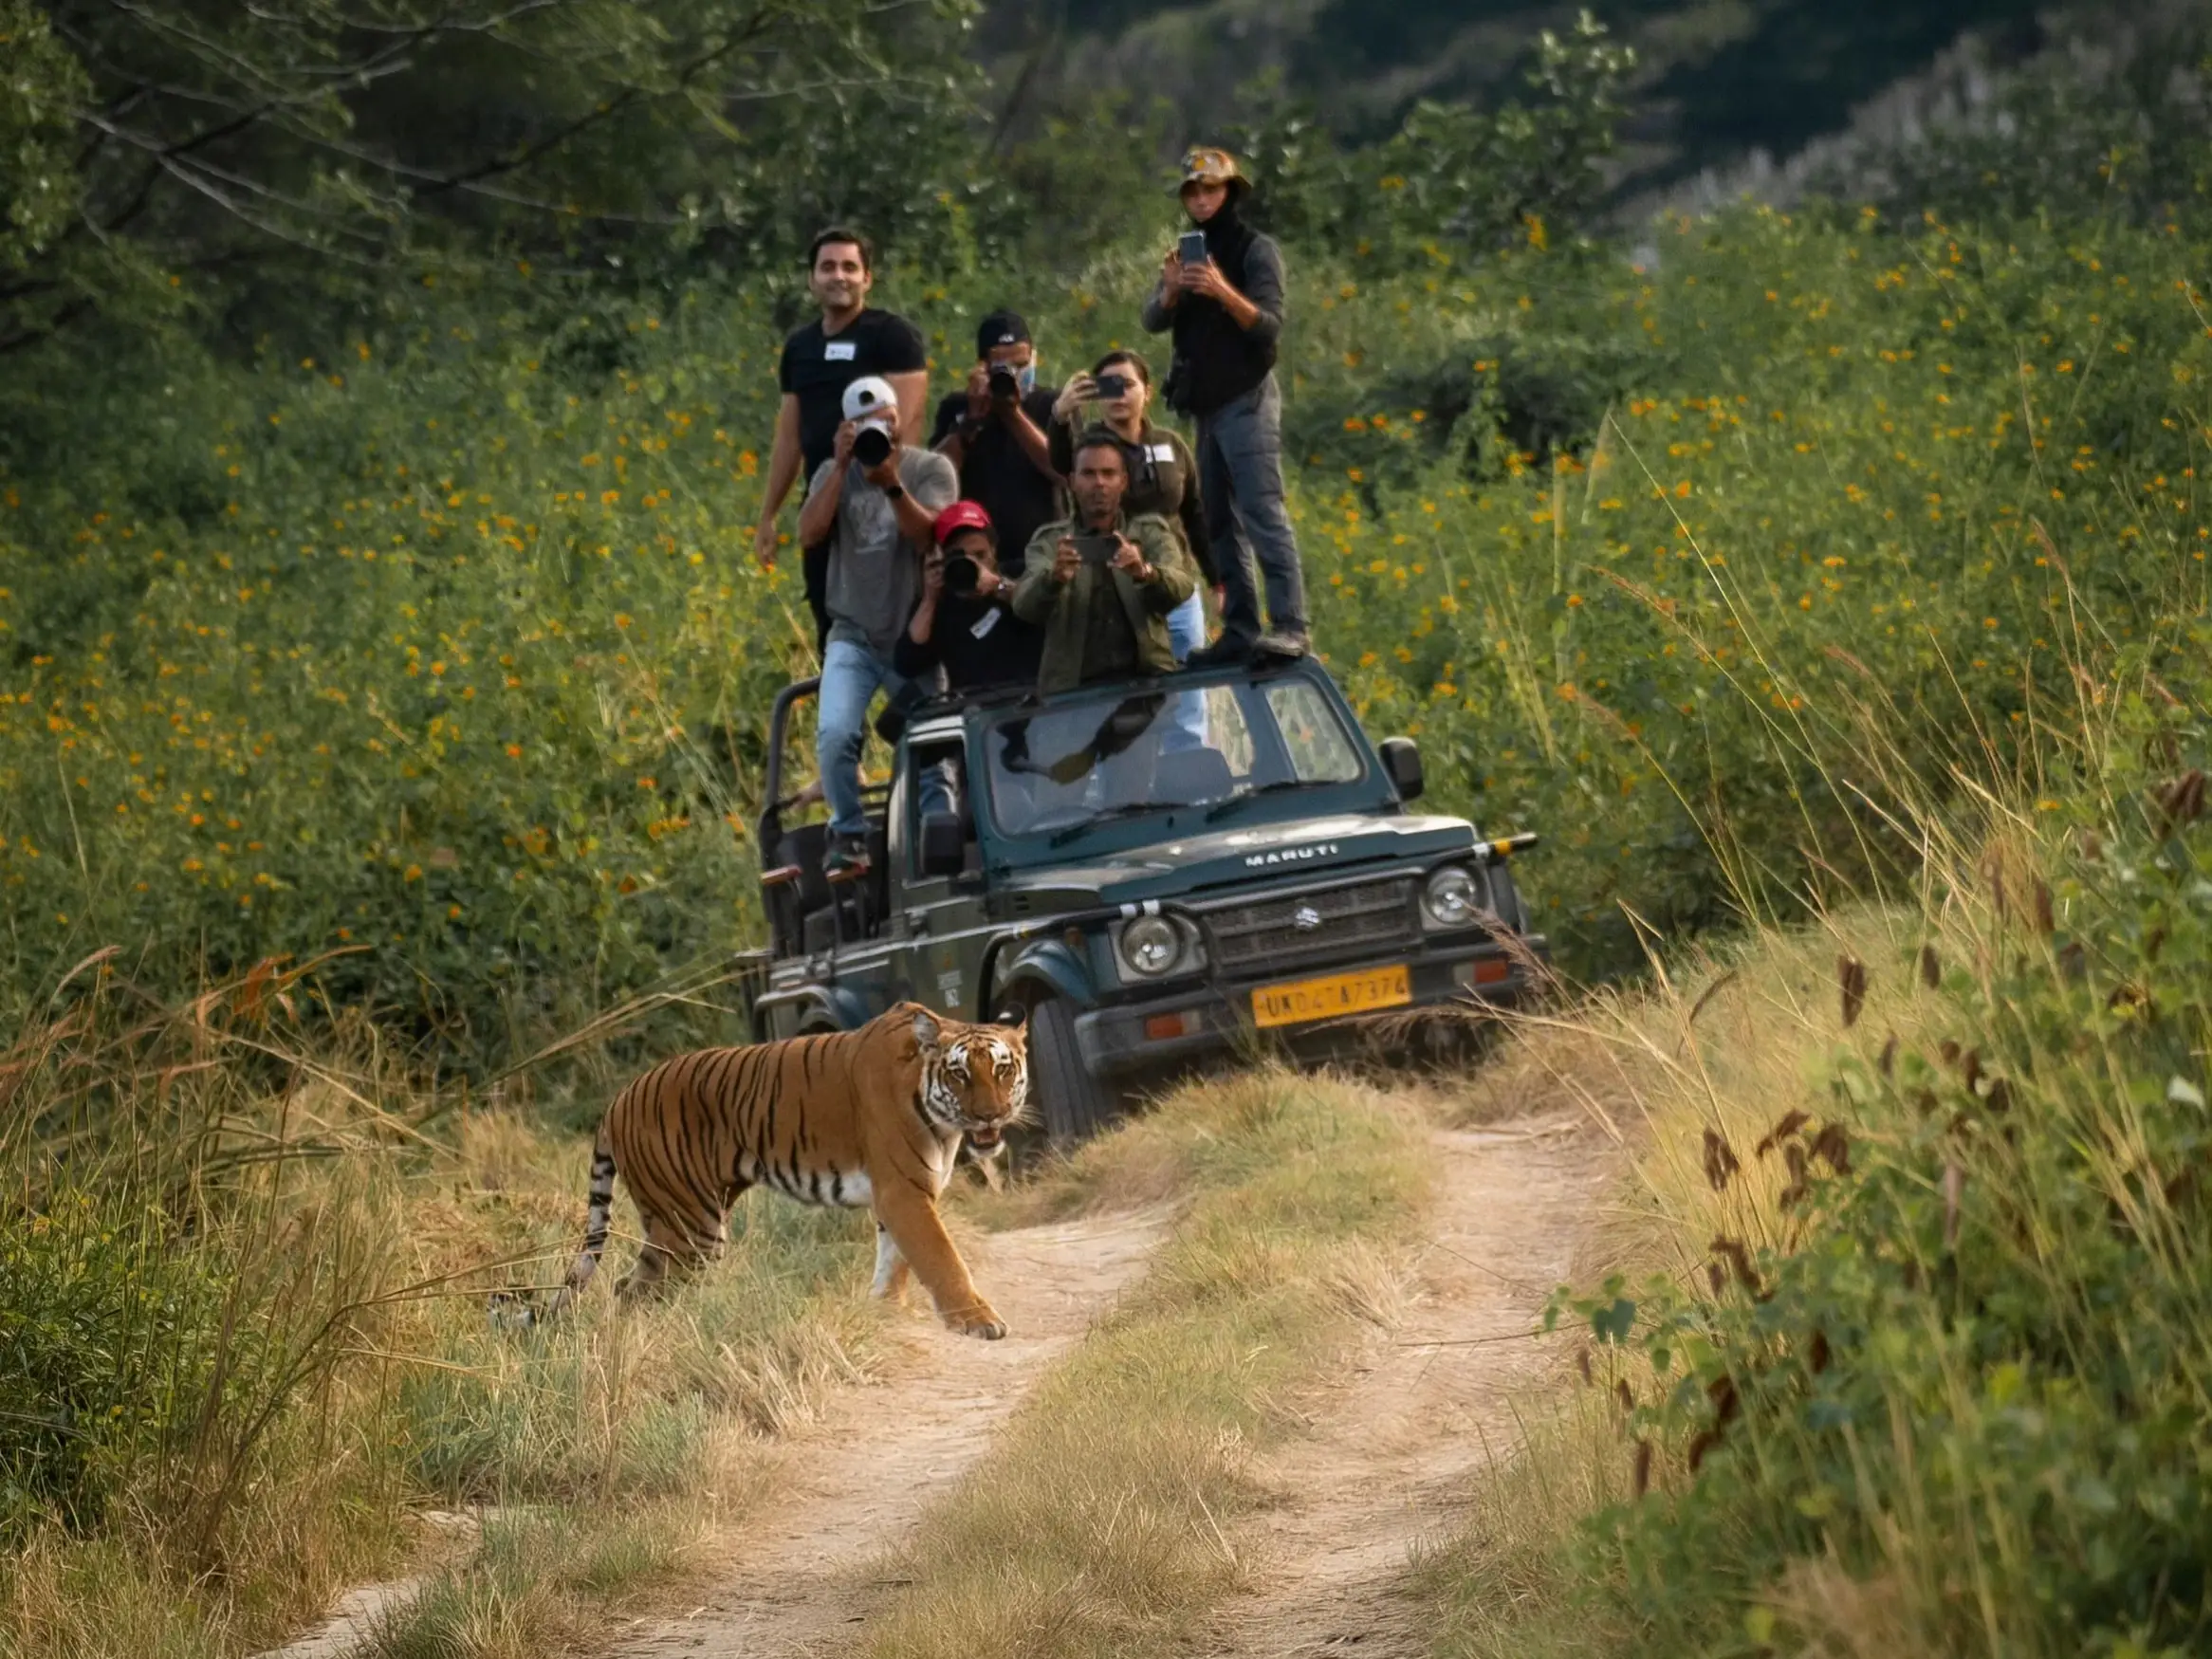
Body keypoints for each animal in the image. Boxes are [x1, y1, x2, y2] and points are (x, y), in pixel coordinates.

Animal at [499, 1004, 1030, 1338]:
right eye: (960, 1073)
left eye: (1003, 1070)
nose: (991, 1115)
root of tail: (617, 1100)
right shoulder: (903, 1190)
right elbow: (941, 1258)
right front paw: (977, 1321)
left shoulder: (901, 1194)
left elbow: (894, 1261)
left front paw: (886, 1313)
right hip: (691, 1224)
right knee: (633, 1290)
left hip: (679, 1221)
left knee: (628, 1289)